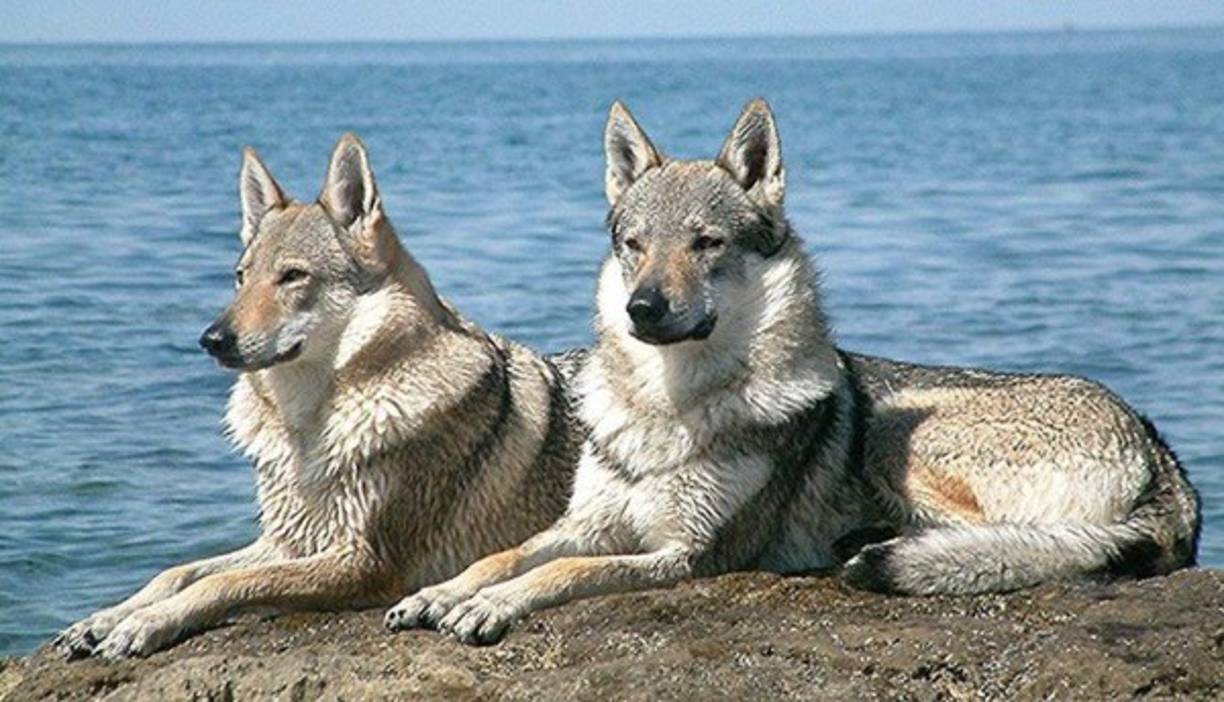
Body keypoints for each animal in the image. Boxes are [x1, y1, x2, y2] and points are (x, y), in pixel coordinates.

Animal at [53, 134, 583, 659]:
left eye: (293, 276)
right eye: (241, 277)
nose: (211, 339)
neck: (307, 428)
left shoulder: (364, 561)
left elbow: (221, 583)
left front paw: (143, 624)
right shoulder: (290, 540)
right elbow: (177, 572)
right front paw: (102, 619)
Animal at [384, 99, 1200, 645]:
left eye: (706, 243)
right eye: (633, 244)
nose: (642, 309)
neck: (670, 407)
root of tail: (1164, 455)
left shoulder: (685, 554)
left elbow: (561, 575)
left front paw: (488, 606)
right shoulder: (587, 522)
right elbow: (506, 554)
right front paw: (442, 593)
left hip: (899, 440)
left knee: (1034, 544)